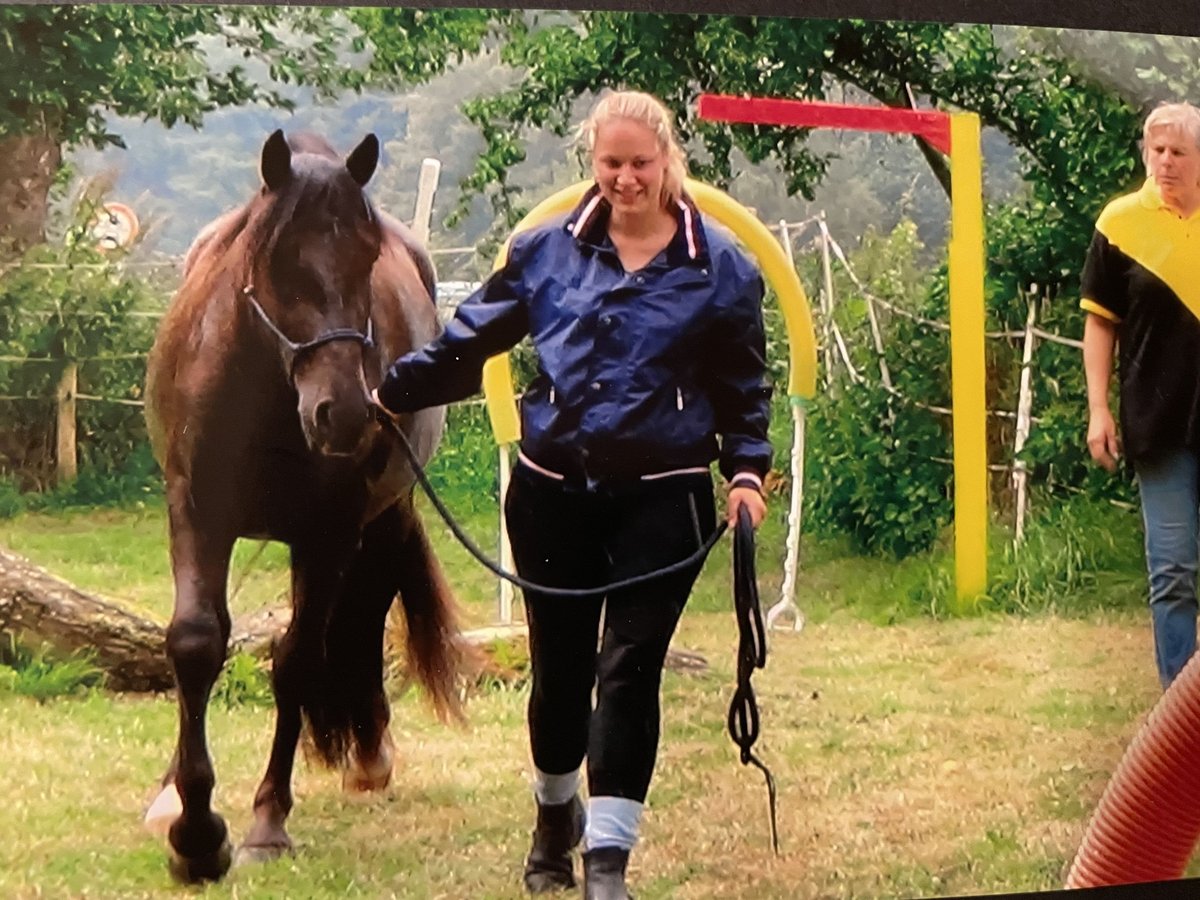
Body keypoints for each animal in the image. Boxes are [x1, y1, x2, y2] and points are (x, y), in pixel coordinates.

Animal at [138, 130, 460, 883]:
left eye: (368, 257)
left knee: (365, 611)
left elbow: (298, 660)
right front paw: (193, 832)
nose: (343, 413)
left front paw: (263, 823)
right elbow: (194, 643)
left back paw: (369, 752)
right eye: (280, 259)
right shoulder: (197, 513)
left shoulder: (331, 534)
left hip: (377, 521)